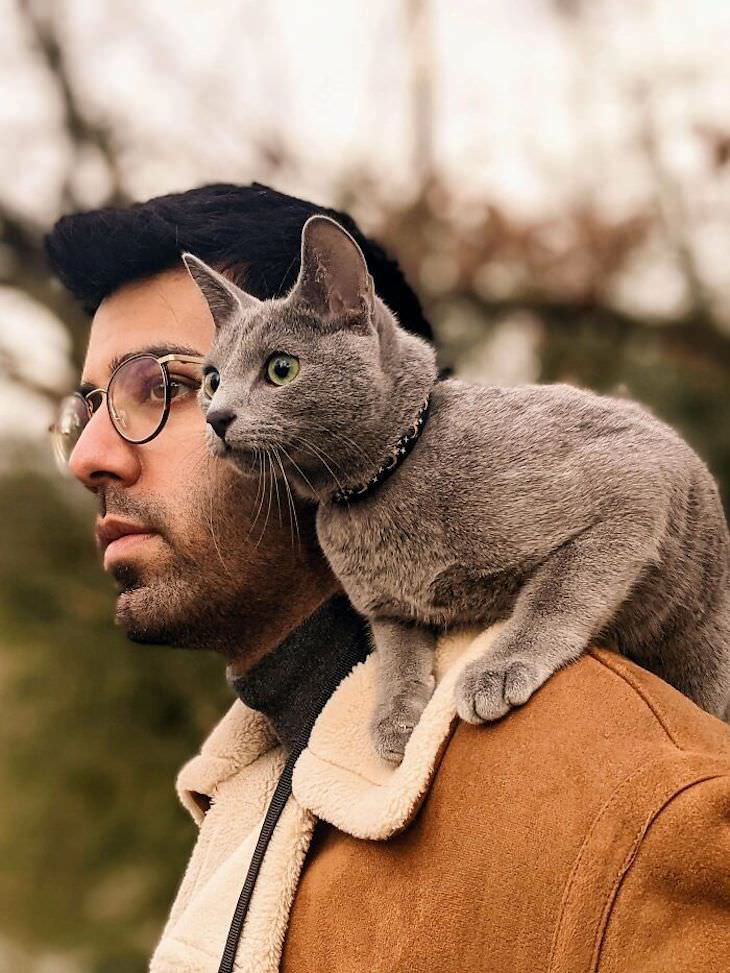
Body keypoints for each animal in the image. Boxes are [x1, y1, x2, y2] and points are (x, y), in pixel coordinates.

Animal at [182, 216, 728, 764]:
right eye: (212, 380)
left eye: (281, 368)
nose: (216, 417)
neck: (379, 484)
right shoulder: (386, 608)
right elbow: (395, 655)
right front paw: (395, 718)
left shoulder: (633, 483)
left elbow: (553, 594)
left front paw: (499, 670)